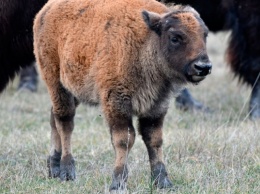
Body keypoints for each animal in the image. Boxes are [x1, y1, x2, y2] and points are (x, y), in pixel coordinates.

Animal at [33, 0, 211, 191]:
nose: (203, 67)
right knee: (65, 122)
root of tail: (46, 10)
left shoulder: (156, 107)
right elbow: (124, 140)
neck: (146, 40)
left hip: (73, 90)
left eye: (205, 35)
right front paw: (117, 183)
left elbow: (154, 139)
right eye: (175, 37)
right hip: (57, 84)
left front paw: (163, 182)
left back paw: (54, 168)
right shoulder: (116, 104)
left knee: (54, 118)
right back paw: (67, 171)